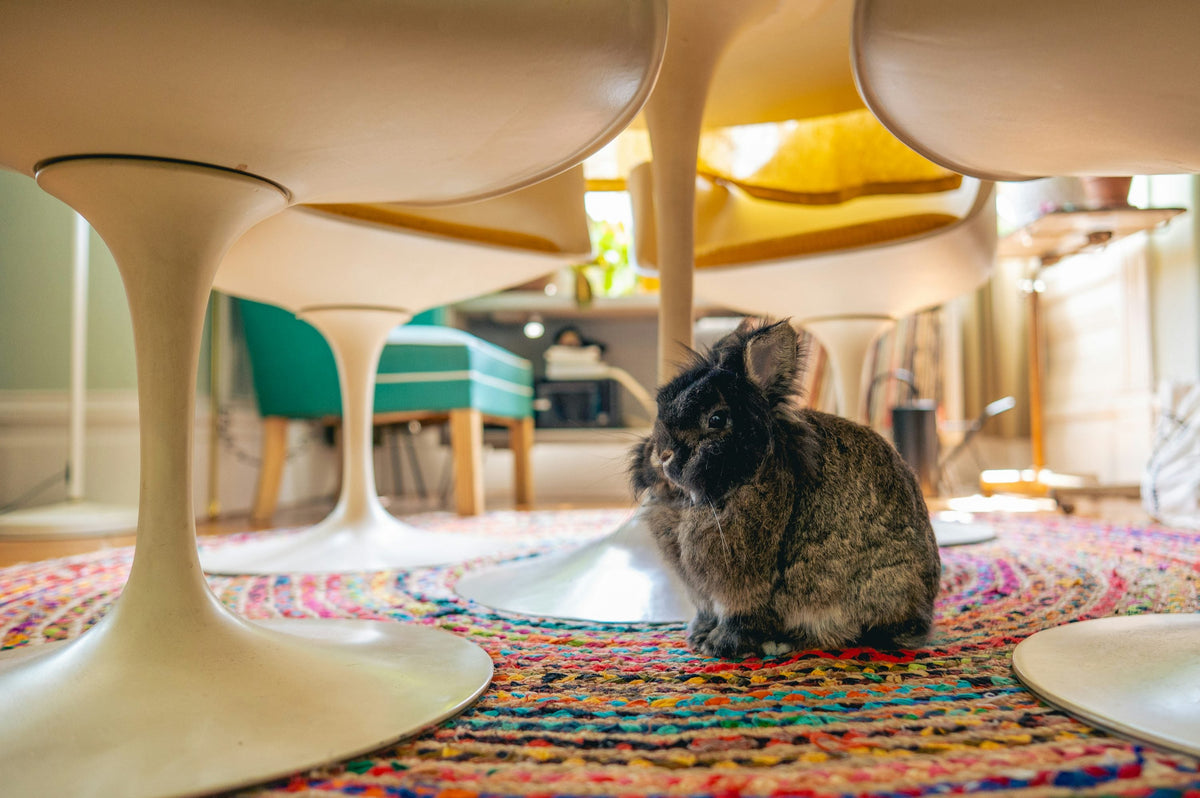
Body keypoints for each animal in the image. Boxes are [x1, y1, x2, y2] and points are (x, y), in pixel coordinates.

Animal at [630, 318, 941, 659]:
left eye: (717, 419)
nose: (661, 455)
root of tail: (923, 610)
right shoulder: (705, 595)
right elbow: (707, 612)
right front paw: (698, 636)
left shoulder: (747, 590)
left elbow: (740, 618)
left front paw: (719, 644)